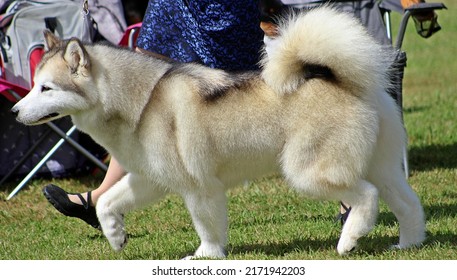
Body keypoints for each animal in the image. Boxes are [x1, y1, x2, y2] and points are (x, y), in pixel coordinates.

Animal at [10, 6, 424, 260]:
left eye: (46, 89)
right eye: (33, 86)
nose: (14, 111)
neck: (140, 102)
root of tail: (343, 80)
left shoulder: (198, 186)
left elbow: (207, 227)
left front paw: (204, 257)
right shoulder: (151, 178)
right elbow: (107, 201)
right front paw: (115, 235)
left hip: (308, 172)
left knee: (366, 197)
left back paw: (350, 238)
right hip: (382, 167)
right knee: (408, 204)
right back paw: (408, 244)